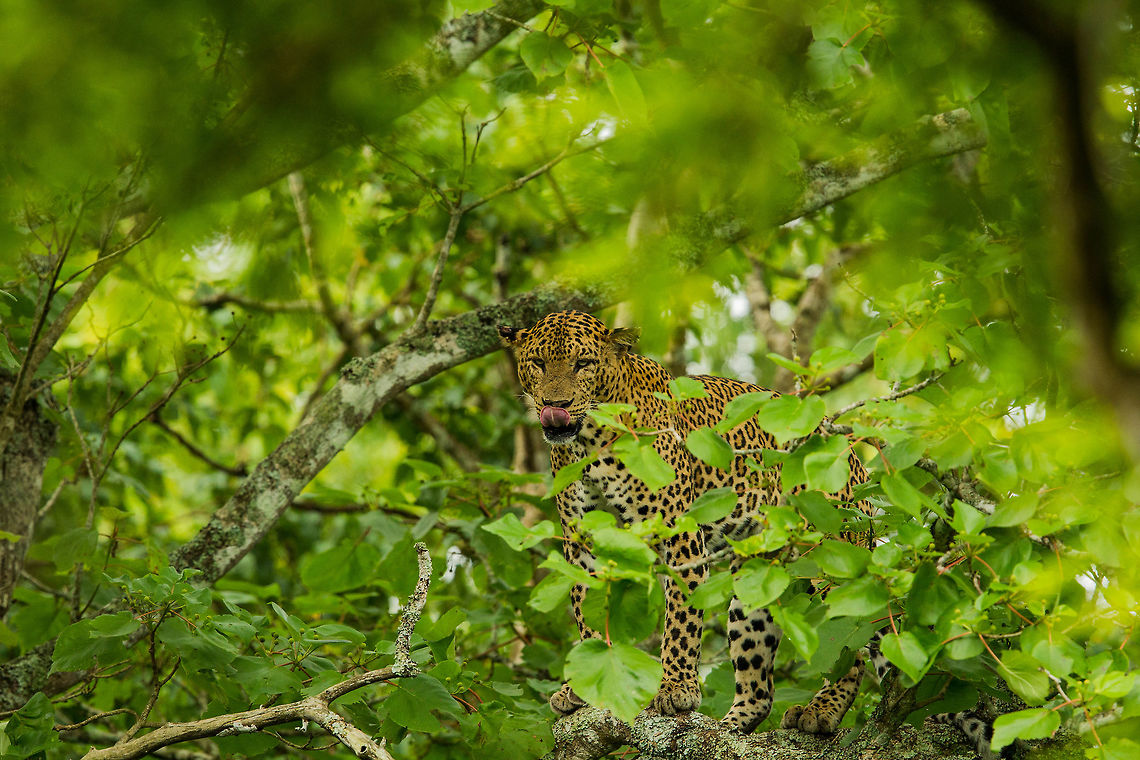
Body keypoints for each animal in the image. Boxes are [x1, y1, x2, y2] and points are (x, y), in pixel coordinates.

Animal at [500, 310, 1009, 758]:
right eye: (539, 364)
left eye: (583, 364)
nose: (556, 406)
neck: (588, 441)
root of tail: (855, 461)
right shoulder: (584, 544)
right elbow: (588, 615)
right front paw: (584, 687)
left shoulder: (680, 535)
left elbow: (680, 621)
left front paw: (675, 688)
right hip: (753, 590)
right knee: (759, 686)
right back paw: (729, 729)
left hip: (830, 556)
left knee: (849, 641)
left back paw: (820, 712)